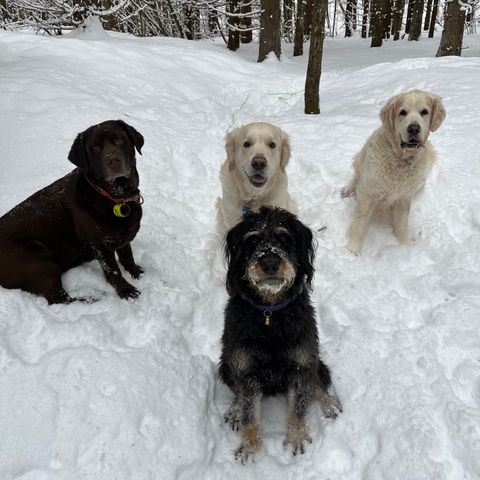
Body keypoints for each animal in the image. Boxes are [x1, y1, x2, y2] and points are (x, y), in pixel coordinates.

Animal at [0, 119, 144, 304]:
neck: (115, 197)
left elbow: (127, 256)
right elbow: (113, 271)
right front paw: (126, 291)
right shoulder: (101, 245)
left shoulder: (122, 235)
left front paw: (136, 273)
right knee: (59, 298)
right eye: (94, 147)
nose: (113, 159)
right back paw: (91, 298)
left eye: (120, 139)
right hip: (39, 260)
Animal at [221, 208, 342, 464]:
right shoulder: (245, 367)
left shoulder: (302, 364)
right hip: (225, 365)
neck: (270, 314)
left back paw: (329, 405)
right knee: (237, 393)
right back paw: (234, 410)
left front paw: (296, 439)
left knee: (318, 384)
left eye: (284, 237)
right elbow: (249, 412)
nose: (269, 263)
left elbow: (299, 406)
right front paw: (249, 447)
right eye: (252, 239)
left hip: (318, 362)